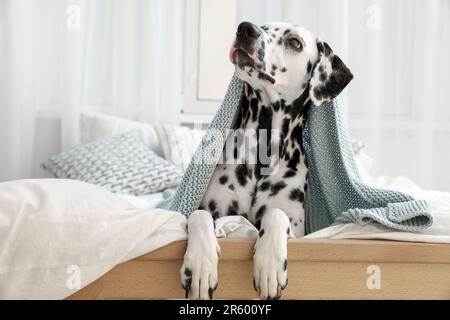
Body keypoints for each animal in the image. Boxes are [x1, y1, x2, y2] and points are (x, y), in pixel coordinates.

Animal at [181, 21, 354, 300]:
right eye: (263, 26)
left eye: (295, 42)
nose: (246, 28)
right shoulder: (211, 210)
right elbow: (198, 215)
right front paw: (199, 264)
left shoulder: (296, 228)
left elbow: (276, 214)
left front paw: (270, 263)